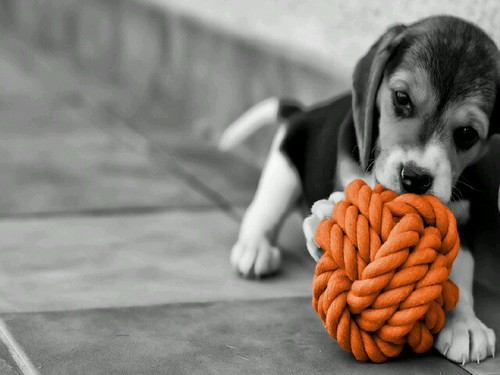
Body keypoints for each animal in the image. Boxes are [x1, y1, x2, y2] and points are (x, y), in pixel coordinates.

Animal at [224, 15, 500, 364]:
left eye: (467, 133)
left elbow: (461, 271)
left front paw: (465, 324)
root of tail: (303, 112)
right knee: (261, 211)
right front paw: (330, 216)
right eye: (401, 98)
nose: (415, 178)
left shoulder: (462, 222)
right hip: (283, 167)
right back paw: (254, 249)